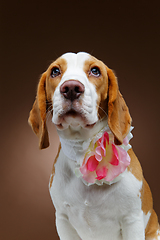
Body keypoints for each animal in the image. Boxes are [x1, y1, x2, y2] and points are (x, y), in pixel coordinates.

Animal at [29, 51, 160, 239]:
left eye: (95, 71)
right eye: (55, 71)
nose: (71, 88)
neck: (82, 148)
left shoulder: (132, 221)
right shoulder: (62, 220)